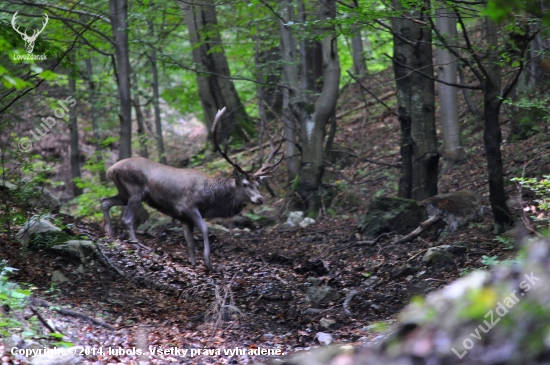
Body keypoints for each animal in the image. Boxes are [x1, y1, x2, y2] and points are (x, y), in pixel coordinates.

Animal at [101, 106, 284, 268]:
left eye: (258, 184)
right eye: (245, 184)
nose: (260, 198)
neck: (210, 199)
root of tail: (111, 169)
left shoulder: (183, 218)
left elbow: (189, 242)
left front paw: (194, 263)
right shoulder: (188, 207)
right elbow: (205, 228)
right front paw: (208, 262)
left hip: (124, 193)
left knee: (105, 201)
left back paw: (110, 233)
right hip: (135, 191)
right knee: (126, 218)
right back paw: (136, 244)